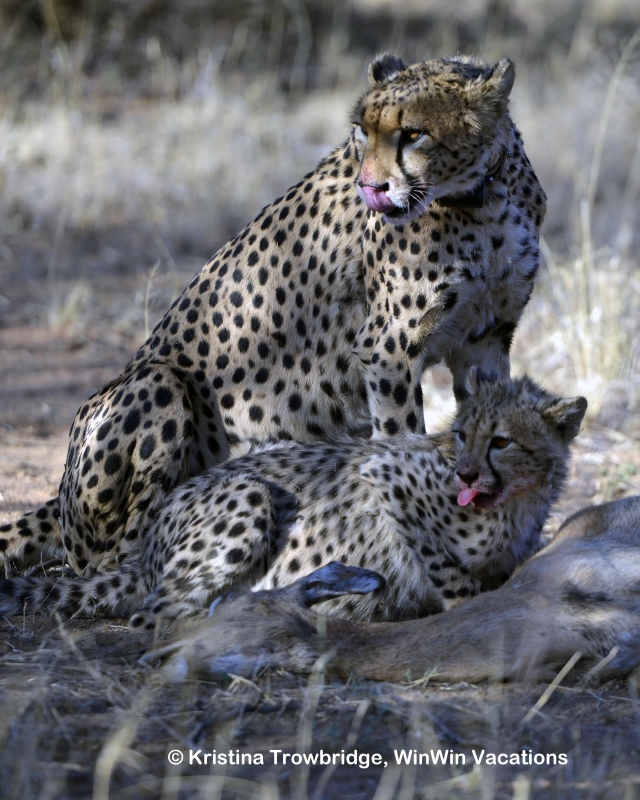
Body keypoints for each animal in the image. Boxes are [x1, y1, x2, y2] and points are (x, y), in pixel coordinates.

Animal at [0, 53, 545, 595]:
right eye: (361, 131)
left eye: (413, 134)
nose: (370, 187)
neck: (483, 198)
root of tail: (60, 499)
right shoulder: (389, 348)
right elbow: (401, 439)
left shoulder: (484, 341)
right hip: (156, 384)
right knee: (112, 558)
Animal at [0, 372, 586, 629]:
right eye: (463, 434)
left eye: (501, 441)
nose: (464, 471)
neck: (518, 497)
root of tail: (147, 549)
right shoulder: (388, 474)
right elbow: (448, 572)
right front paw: (468, 609)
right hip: (250, 494)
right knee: (153, 615)